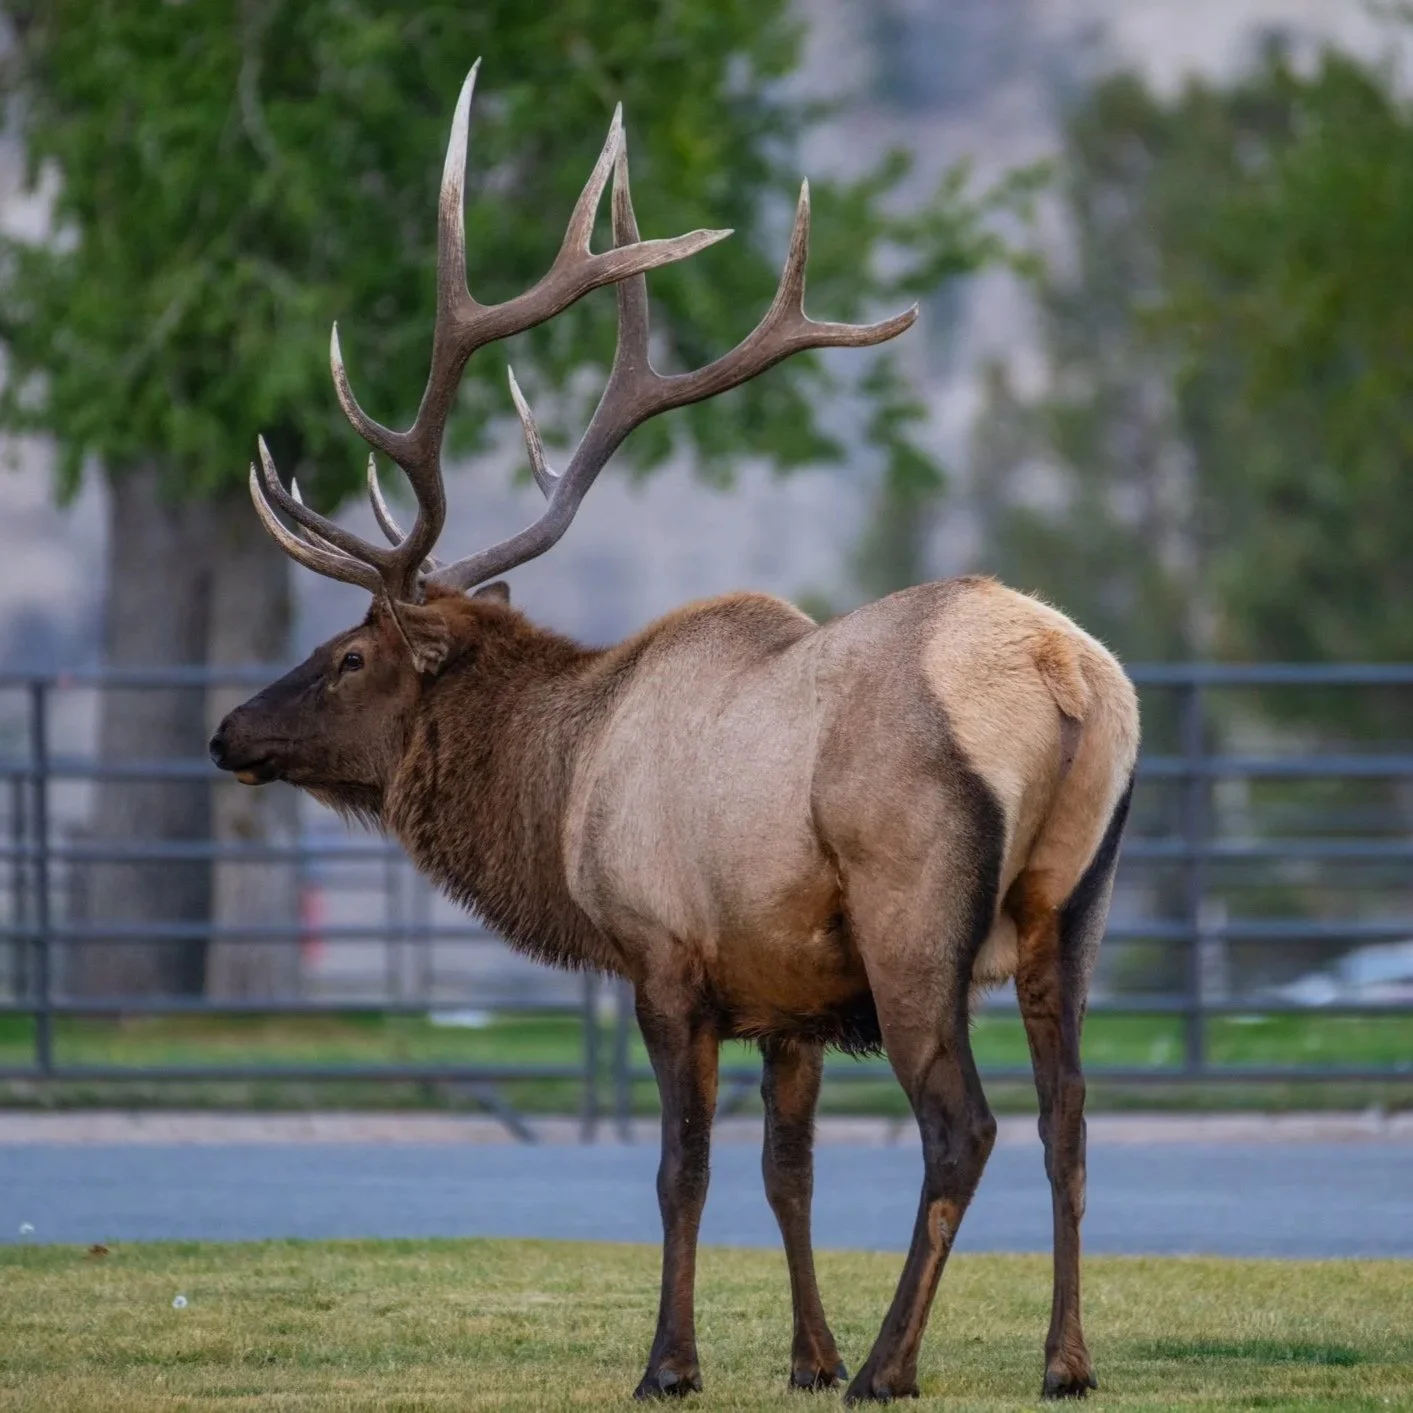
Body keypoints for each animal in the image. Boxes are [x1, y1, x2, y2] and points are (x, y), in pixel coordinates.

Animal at [209, 62, 1140, 1404]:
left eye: (349, 657)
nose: (228, 731)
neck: (558, 790)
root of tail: (1065, 676)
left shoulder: (665, 961)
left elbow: (679, 1172)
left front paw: (674, 1362)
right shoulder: (790, 995)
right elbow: (787, 1173)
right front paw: (803, 1355)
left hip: (916, 910)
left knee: (964, 1124)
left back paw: (890, 1367)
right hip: (1075, 904)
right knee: (1071, 1114)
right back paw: (1062, 1360)